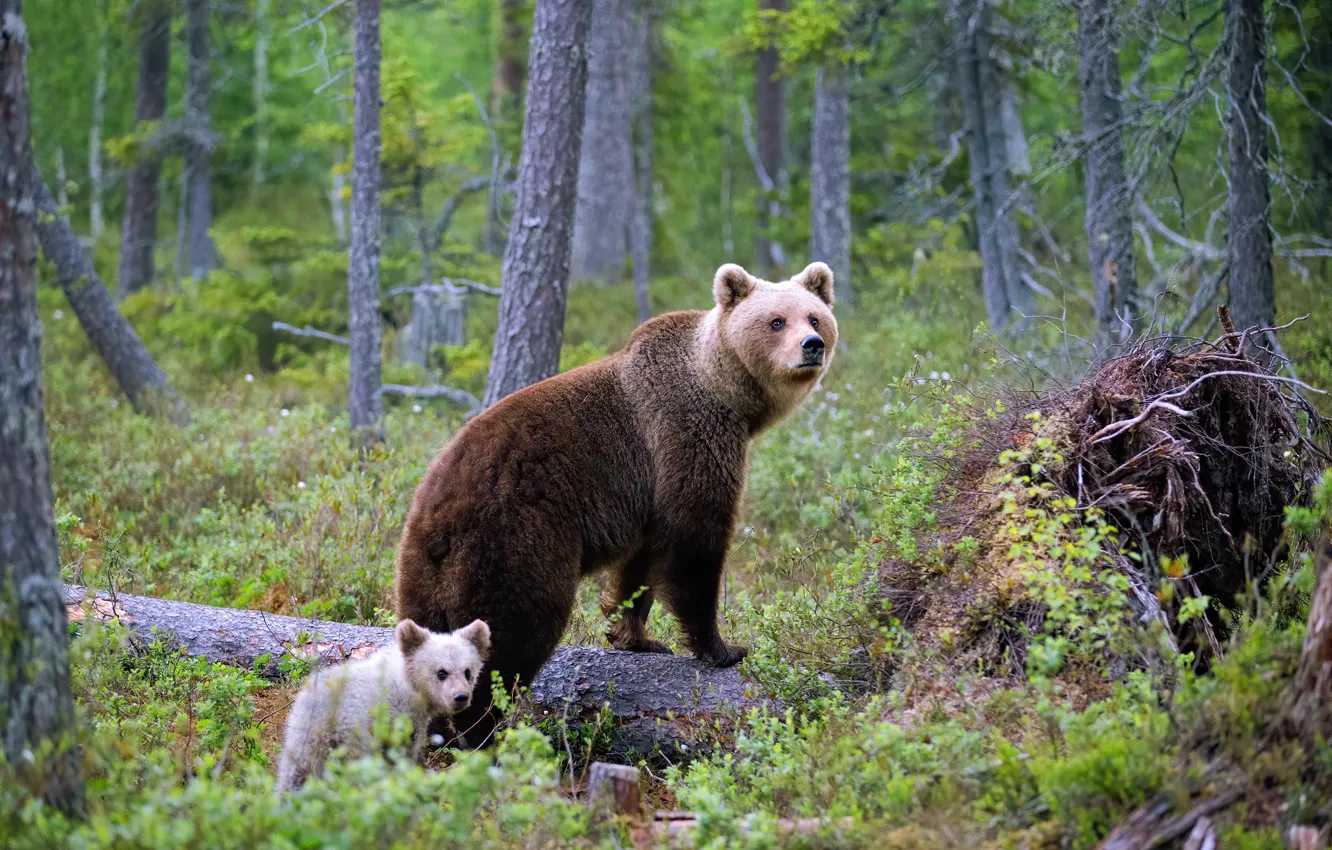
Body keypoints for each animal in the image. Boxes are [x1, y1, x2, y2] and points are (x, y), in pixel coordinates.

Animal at [273, 618, 490, 793]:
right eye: (441, 672)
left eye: (467, 671)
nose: (461, 697)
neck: (408, 685)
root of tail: (326, 711)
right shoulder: (401, 718)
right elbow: (404, 752)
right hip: (356, 736)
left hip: (302, 735)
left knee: (294, 773)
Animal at [395, 261, 838, 745]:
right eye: (776, 321)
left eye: (815, 318)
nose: (811, 346)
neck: (728, 393)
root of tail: (437, 513)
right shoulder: (688, 435)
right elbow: (695, 543)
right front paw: (724, 647)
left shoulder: (648, 493)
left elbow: (639, 567)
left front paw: (636, 636)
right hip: (513, 540)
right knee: (513, 631)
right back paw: (482, 730)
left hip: (422, 571)